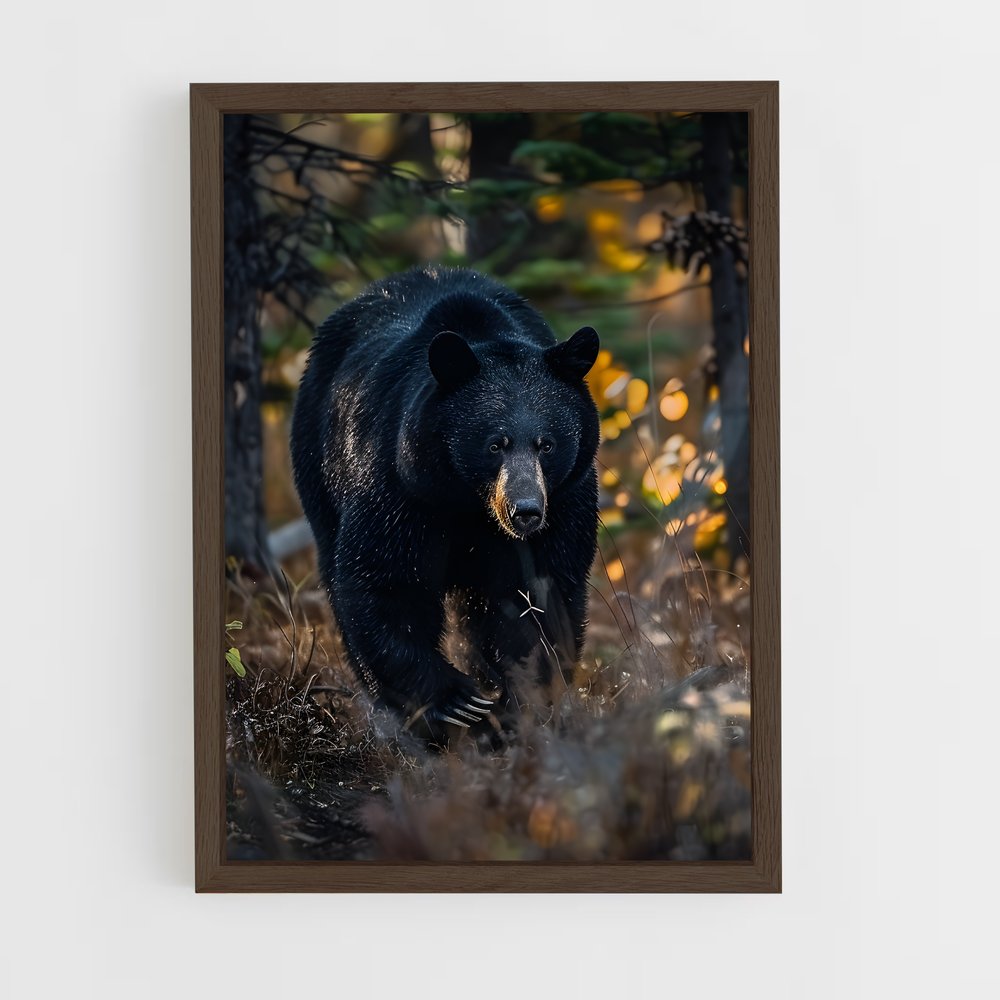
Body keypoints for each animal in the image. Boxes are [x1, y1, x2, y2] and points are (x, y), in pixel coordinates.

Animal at [291, 266, 600, 734]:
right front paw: (456, 701)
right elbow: (385, 581)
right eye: (495, 444)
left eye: (547, 444)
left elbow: (542, 595)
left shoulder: (565, 501)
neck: (466, 503)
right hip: (316, 462)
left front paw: (519, 701)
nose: (526, 512)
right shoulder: (400, 487)